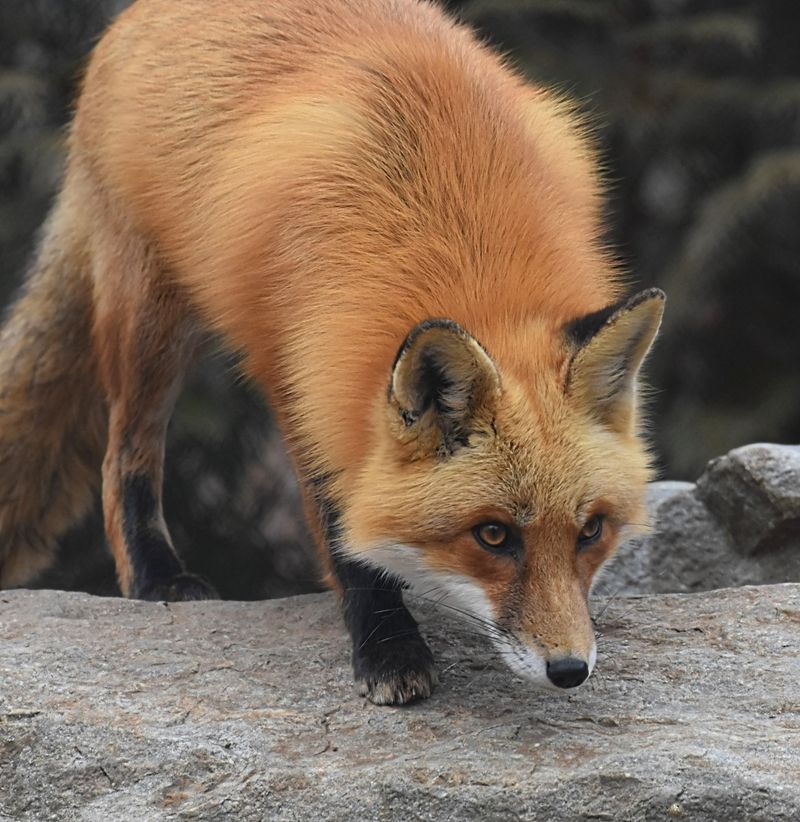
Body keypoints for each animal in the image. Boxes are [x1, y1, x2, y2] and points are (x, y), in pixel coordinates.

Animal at [0, 0, 664, 704]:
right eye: (493, 535)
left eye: (591, 530)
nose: (570, 670)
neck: (466, 254)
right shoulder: (305, 378)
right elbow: (343, 538)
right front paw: (388, 649)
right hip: (151, 315)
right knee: (124, 452)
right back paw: (157, 578)